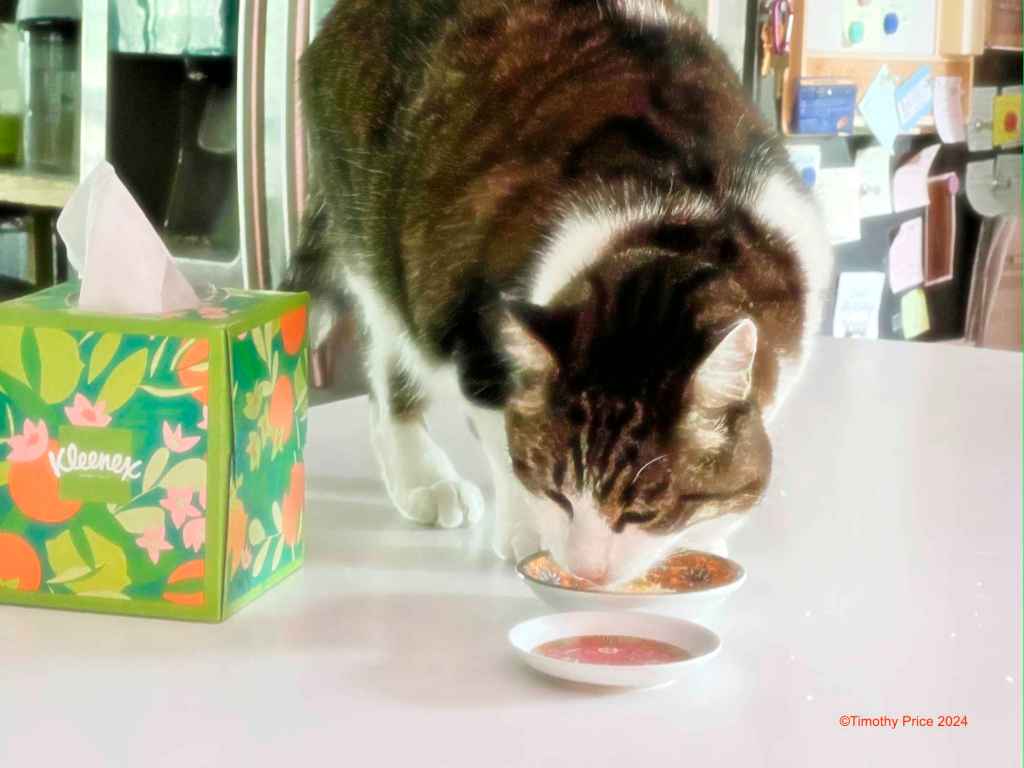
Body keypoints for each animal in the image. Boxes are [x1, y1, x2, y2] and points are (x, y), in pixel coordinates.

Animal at [284, 0, 831, 585]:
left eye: (642, 512)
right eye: (559, 489)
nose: (588, 572)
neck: (680, 225)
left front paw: (703, 539)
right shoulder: (476, 340)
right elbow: (506, 445)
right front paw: (530, 534)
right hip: (376, 234)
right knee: (391, 368)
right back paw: (424, 479)